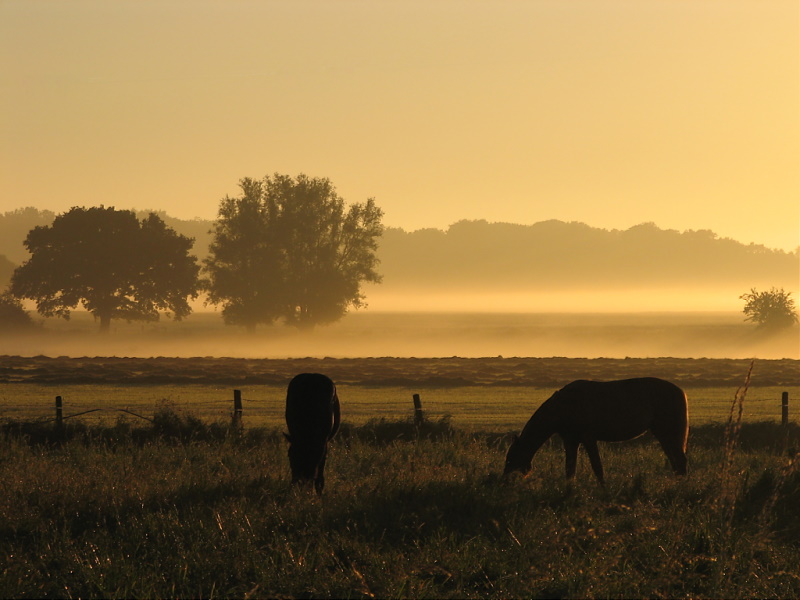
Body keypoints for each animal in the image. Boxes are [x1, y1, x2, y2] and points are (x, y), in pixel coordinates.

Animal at [506, 378, 688, 486]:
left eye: (511, 458)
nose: (505, 481)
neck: (564, 407)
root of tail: (681, 391)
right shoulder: (571, 441)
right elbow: (569, 469)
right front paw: (568, 490)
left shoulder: (588, 438)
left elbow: (597, 467)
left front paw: (603, 488)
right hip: (662, 433)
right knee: (674, 460)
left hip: (668, 432)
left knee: (680, 459)